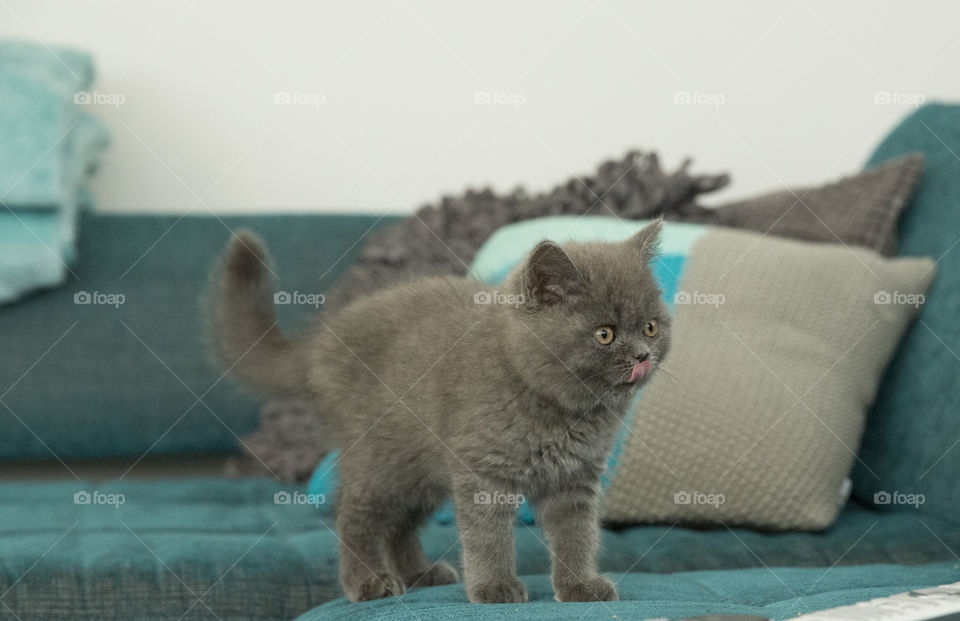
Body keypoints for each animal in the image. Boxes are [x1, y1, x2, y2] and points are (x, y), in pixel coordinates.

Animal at [206, 220, 672, 604]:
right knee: (356, 516)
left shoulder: (576, 477)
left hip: (420, 469)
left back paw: (419, 573)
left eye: (651, 327)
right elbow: (487, 534)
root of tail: (321, 341)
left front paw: (579, 585)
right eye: (604, 334)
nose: (643, 355)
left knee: (401, 525)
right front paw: (494, 587)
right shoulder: (483, 469)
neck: (561, 408)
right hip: (380, 457)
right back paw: (368, 581)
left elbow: (577, 533)